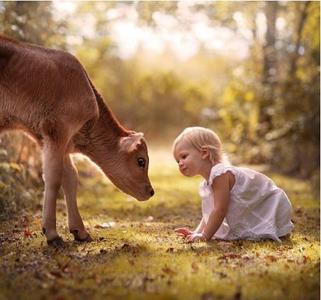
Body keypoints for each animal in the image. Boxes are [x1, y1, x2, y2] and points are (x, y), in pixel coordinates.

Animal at [0, 35, 154, 246]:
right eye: (141, 161)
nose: (151, 191)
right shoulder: (58, 131)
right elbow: (54, 177)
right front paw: (52, 233)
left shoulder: (51, 140)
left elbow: (71, 177)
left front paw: (79, 231)